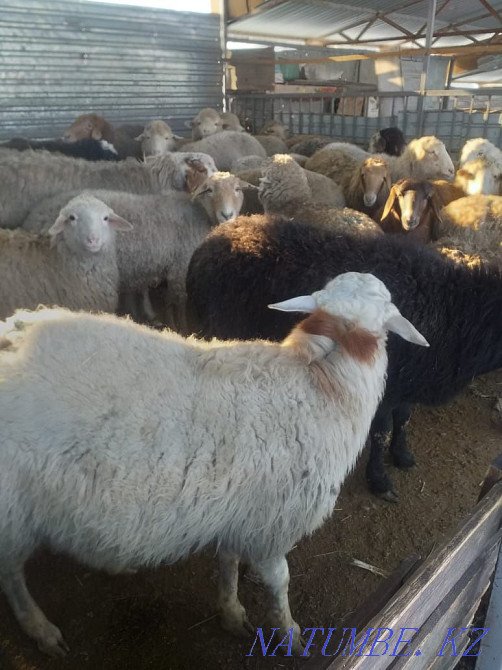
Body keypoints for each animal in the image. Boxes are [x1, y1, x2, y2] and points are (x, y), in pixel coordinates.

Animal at [0, 270, 427, 657]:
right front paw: (289, 634)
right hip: (13, 510)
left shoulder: (236, 510)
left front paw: (231, 611)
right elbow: (279, 582)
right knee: (10, 573)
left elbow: (228, 561)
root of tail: (12, 336)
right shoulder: (271, 524)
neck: (321, 383)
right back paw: (40, 629)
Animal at [186, 215, 502, 501]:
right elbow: (381, 432)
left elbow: (403, 419)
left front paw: (402, 455)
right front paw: (379, 480)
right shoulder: (385, 388)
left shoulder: (408, 381)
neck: (458, 314)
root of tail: (213, 237)